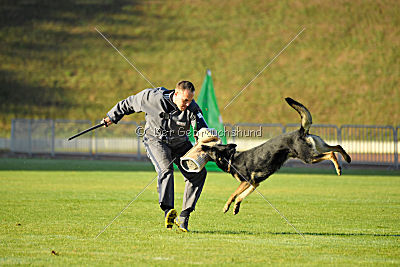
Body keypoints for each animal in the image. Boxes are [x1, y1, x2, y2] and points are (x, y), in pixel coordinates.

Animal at [203, 98, 350, 216]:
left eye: (212, 149)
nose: (203, 146)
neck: (231, 159)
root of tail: (300, 131)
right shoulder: (254, 184)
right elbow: (240, 196)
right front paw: (236, 207)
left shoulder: (246, 182)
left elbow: (233, 194)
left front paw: (226, 207)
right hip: (319, 147)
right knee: (337, 147)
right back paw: (347, 158)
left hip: (309, 158)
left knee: (331, 154)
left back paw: (339, 168)